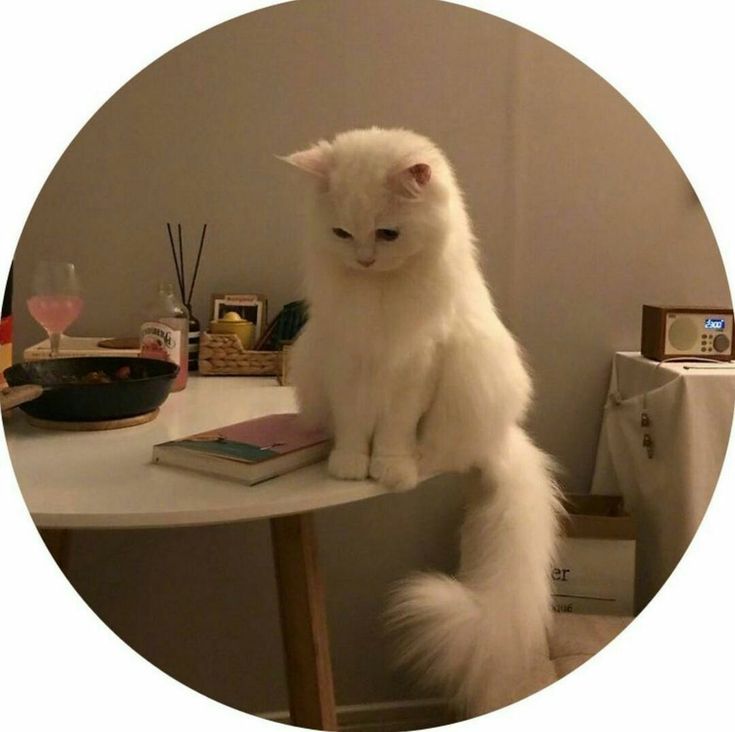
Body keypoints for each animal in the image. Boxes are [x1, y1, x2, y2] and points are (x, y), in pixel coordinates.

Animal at [282, 127, 564, 716]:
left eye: (387, 234)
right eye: (343, 233)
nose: (366, 260)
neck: (378, 295)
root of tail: (501, 438)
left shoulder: (415, 368)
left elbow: (391, 433)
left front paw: (388, 470)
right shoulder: (347, 365)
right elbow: (353, 428)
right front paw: (349, 466)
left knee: (439, 451)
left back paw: (416, 462)